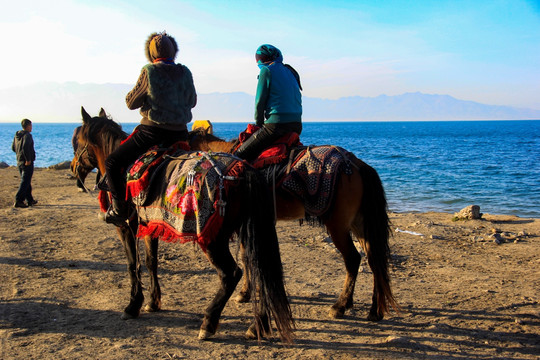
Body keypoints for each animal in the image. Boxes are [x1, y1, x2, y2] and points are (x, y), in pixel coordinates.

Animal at [71, 107, 296, 344]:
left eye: (77, 142)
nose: (73, 168)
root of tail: (245, 171)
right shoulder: (150, 224)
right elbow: (151, 261)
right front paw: (153, 302)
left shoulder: (125, 226)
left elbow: (133, 264)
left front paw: (133, 305)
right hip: (248, 232)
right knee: (259, 270)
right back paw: (258, 325)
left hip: (213, 239)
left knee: (231, 274)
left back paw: (209, 323)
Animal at [189, 126, 396, 320]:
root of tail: (357, 165)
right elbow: (247, 256)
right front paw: (249, 292)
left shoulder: (243, 223)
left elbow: (246, 257)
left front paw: (244, 293)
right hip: (359, 223)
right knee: (375, 259)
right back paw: (374, 311)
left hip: (339, 227)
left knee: (353, 259)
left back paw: (340, 306)